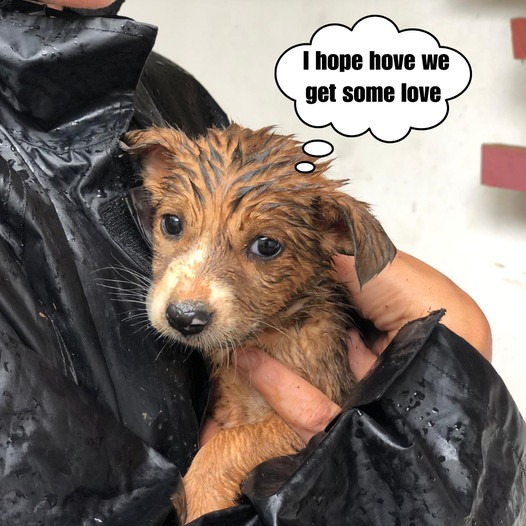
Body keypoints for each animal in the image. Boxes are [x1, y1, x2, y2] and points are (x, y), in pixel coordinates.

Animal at [125, 125, 396, 524]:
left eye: (267, 246)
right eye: (171, 223)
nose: (184, 317)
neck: (268, 333)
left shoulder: (318, 417)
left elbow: (229, 444)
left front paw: (202, 500)